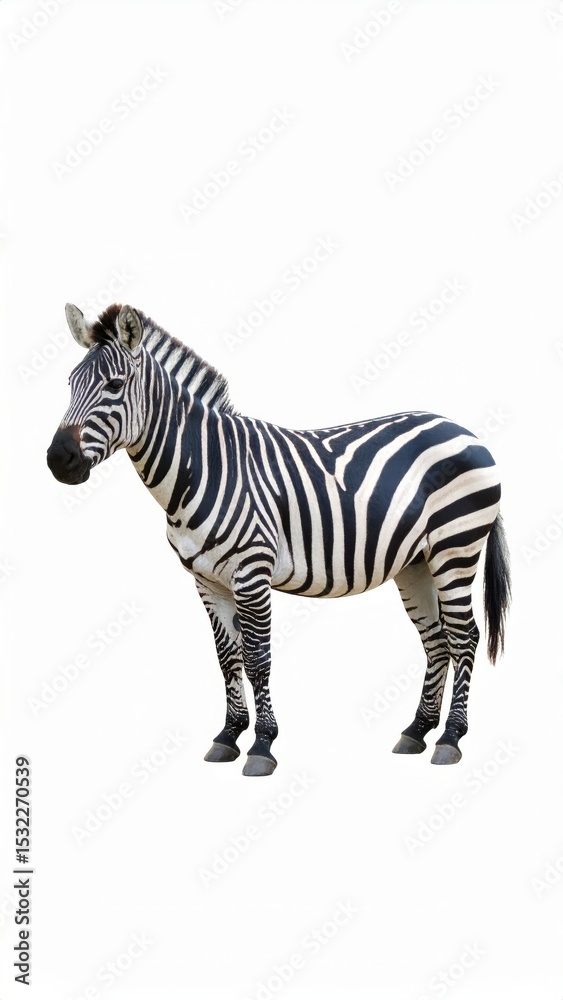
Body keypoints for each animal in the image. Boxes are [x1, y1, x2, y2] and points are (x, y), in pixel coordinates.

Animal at [47, 303, 511, 776]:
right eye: (69, 384)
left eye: (114, 385)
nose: (58, 460)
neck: (202, 468)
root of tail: (461, 428)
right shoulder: (207, 582)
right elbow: (227, 660)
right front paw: (228, 736)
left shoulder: (251, 573)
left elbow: (257, 661)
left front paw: (262, 744)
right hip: (416, 562)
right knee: (436, 641)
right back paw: (417, 731)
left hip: (456, 549)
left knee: (464, 637)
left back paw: (450, 737)